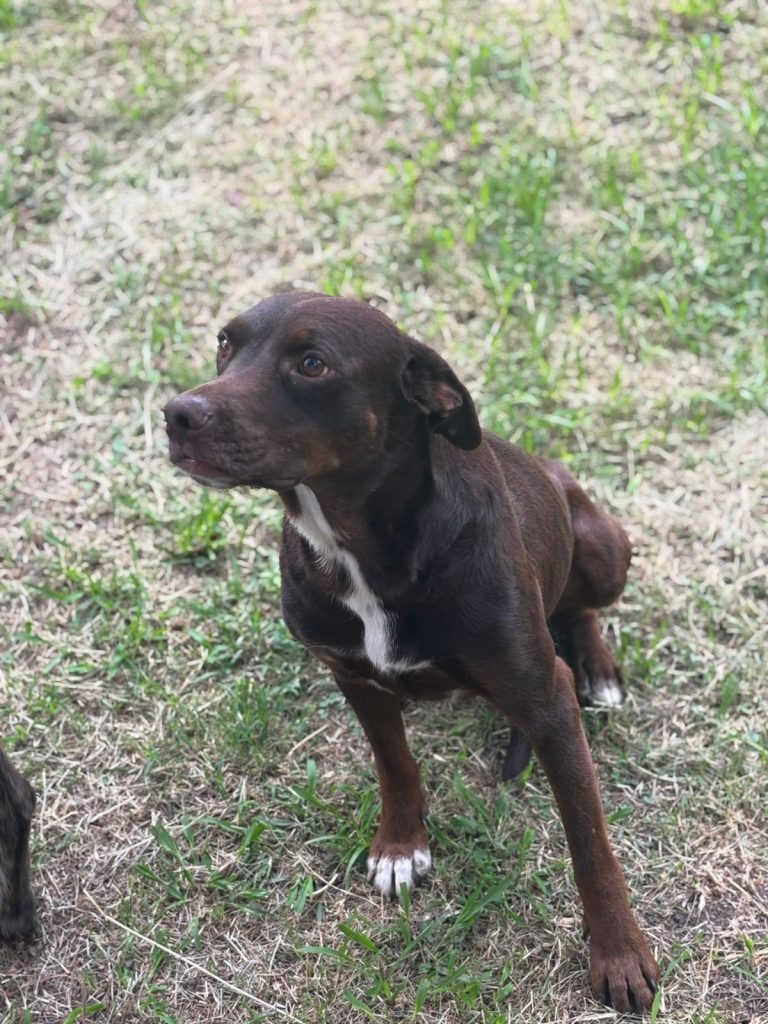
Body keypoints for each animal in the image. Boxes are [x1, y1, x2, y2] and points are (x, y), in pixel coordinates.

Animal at [164, 292, 660, 1012]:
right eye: (225, 345)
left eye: (312, 364)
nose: (177, 414)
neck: (360, 546)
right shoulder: (354, 677)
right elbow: (394, 762)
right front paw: (401, 846)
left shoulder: (545, 703)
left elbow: (591, 842)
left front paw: (620, 955)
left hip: (602, 547)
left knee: (580, 606)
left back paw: (597, 668)